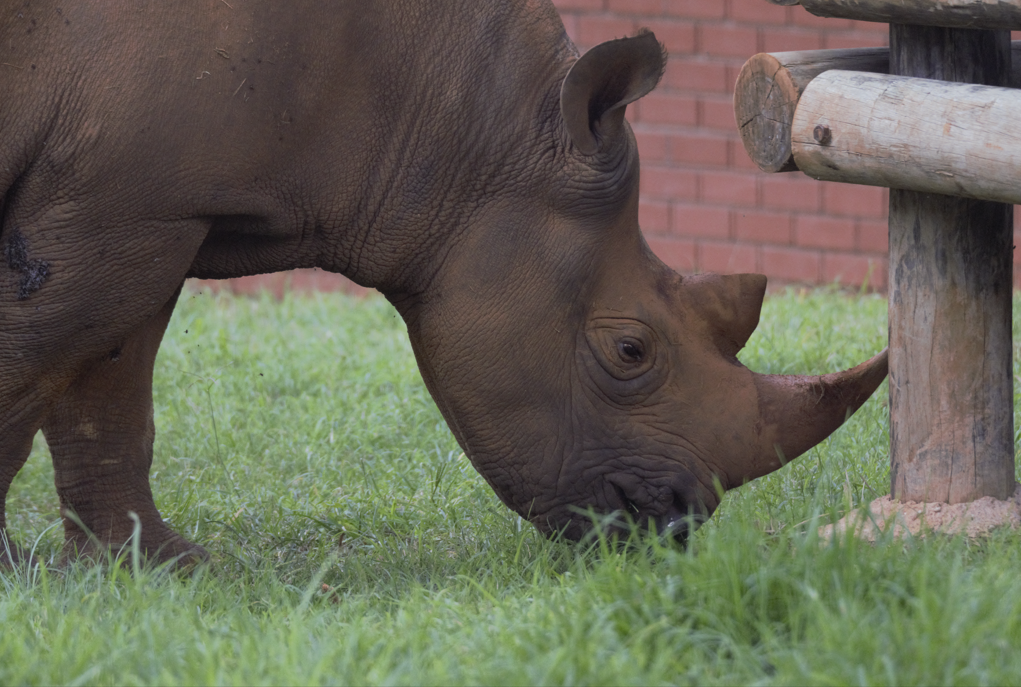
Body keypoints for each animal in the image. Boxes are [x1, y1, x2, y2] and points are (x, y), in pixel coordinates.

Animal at [0, 0, 887, 565]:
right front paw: (16, 570)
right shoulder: (124, 203)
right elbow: (36, 362)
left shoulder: (160, 201)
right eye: (630, 350)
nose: (673, 523)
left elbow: (109, 382)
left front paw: (158, 567)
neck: (461, 119)